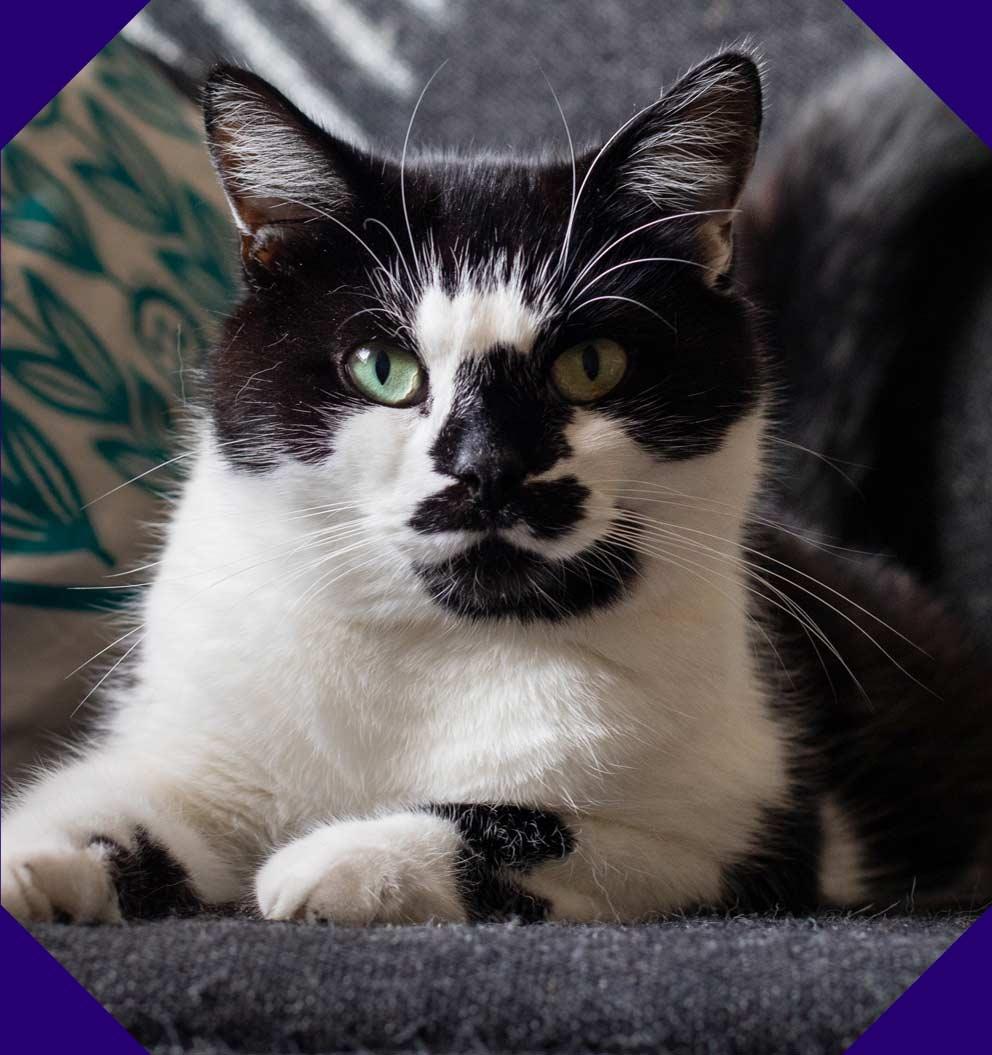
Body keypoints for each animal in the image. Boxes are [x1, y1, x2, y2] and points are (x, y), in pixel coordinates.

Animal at [3, 51, 987, 924]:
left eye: (592, 365)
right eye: (384, 368)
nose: (489, 467)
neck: (427, 652)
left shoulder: (746, 836)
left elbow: (539, 829)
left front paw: (336, 859)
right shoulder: (193, 745)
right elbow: (113, 798)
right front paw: (32, 862)